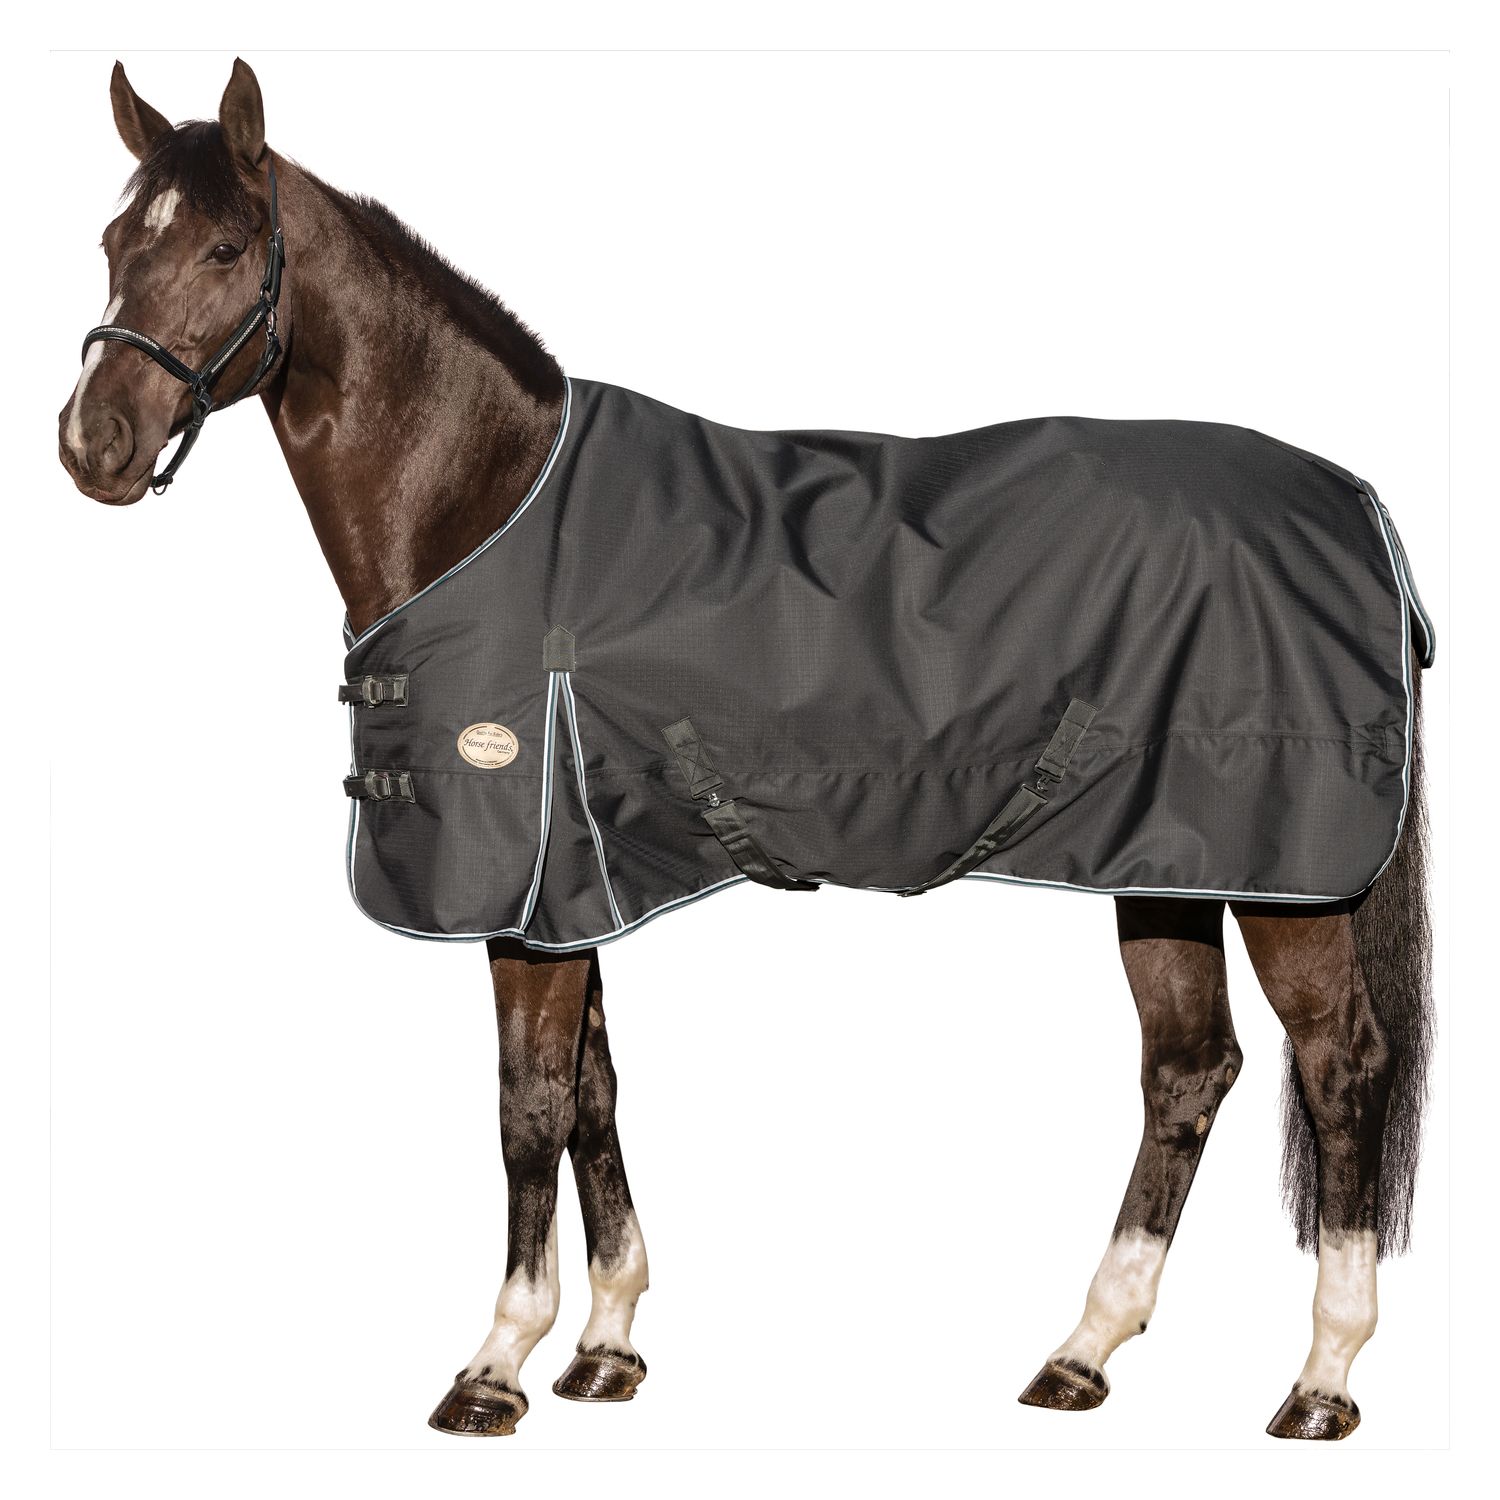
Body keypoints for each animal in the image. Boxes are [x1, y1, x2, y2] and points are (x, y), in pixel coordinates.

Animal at [57, 58, 1433, 1443]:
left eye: (227, 247)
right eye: (116, 245)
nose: (91, 444)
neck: (489, 505)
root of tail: (1353, 503)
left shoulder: (521, 897)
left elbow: (526, 1108)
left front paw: (495, 1365)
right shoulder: (571, 889)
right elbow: (594, 1097)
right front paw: (606, 1348)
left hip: (1289, 882)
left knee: (1341, 1066)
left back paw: (1323, 1379)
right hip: (1166, 864)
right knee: (1188, 1070)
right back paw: (1083, 1353)